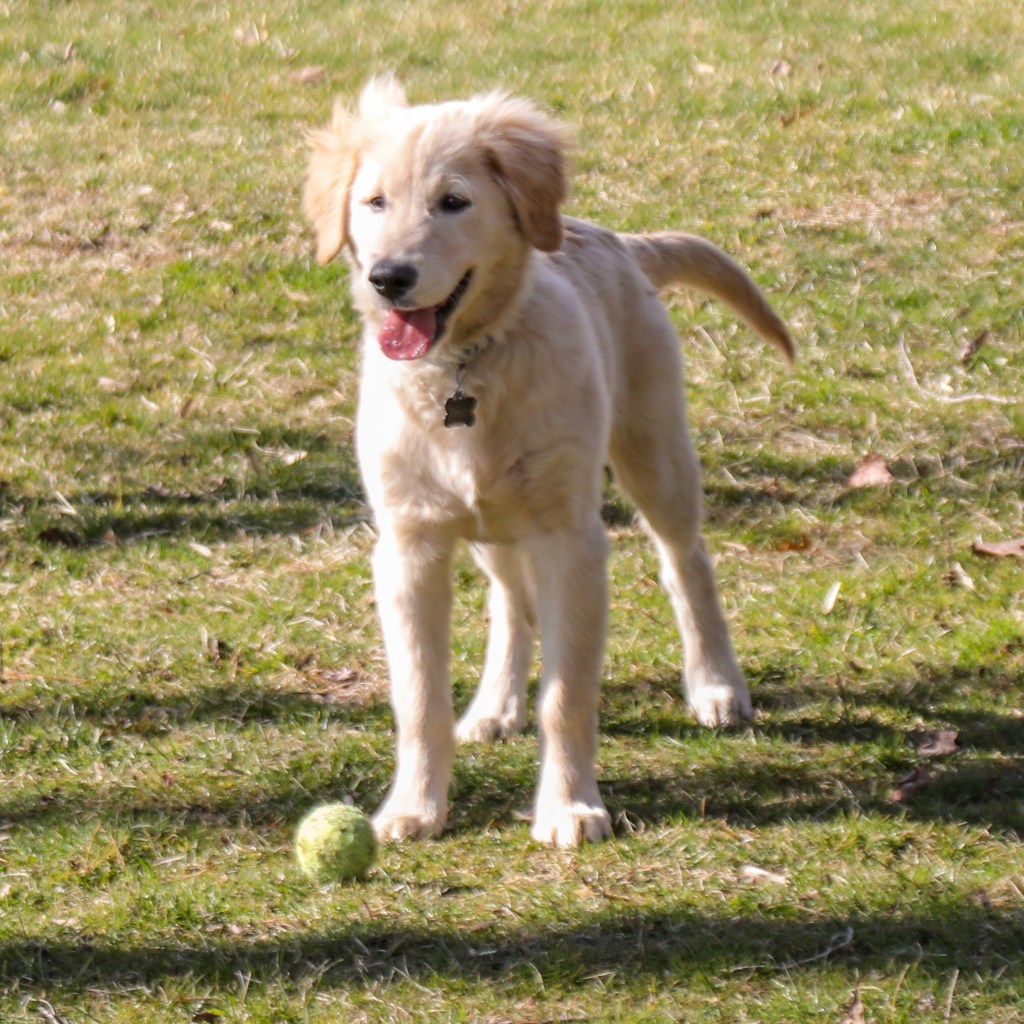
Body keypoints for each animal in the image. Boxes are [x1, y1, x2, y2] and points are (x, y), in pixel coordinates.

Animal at [303, 78, 792, 848]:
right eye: (374, 201)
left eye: (453, 201)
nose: (389, 278)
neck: (467, 366)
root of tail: (618, 241)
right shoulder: (410, 544)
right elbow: (418, 698)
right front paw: (413, 808)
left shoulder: (572, 540)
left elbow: (566, 697)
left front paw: (569, 809)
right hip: (496, 522)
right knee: (512, 601)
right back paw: (495, 706)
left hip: (654, 454)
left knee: (686, 563)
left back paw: (716, 685)